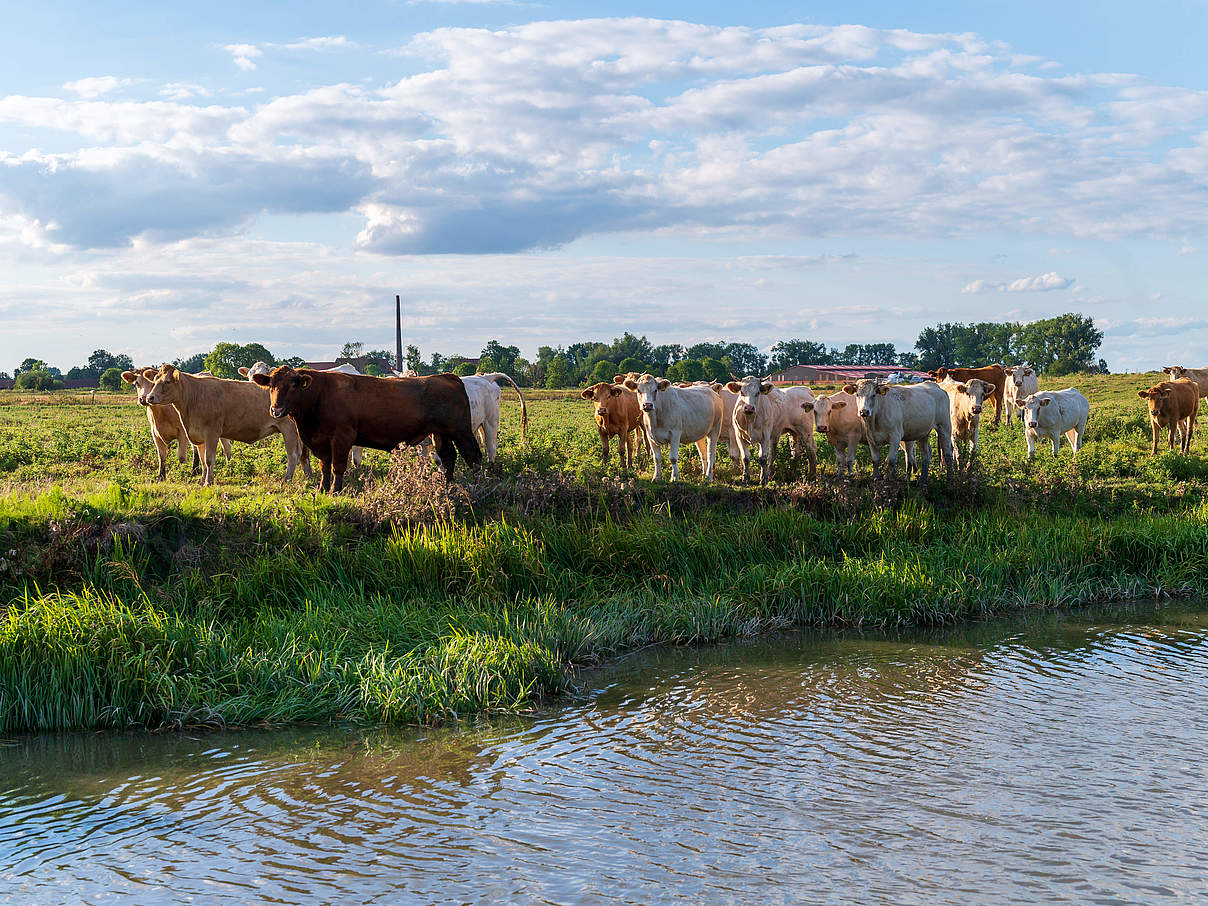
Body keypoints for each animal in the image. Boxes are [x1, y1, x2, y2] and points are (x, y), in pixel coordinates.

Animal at [144, 364, 311, 490]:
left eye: (167, 381)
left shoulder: (212, 432)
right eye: (155, 380)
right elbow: (203, 461)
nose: (149, 397)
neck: (193, 397)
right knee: (302, 454)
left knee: (293, 455)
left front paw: (208, 482)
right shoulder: (198, 435)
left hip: (289, 430)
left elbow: (209, 459)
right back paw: (307, 476)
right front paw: (202, 481)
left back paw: (287, 480)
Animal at [251, 364, 480, 492]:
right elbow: (325, 467)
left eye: (293, 385)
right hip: (441, 433)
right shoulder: (320, 441)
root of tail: (447, 377)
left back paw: (479, 483)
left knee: (473, 456)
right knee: (449, 457)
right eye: (271, 386)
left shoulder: (342, 438)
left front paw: (335, 490)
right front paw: (323, 489)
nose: (276, 410)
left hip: (461, 431)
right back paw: (449, 485)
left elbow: (338, 467)